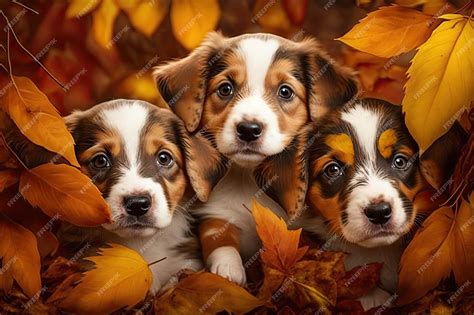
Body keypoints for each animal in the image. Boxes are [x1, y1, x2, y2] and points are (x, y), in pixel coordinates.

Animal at [154, 32, 358, 286]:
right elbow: (217, 234)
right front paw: (227, 270)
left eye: (285, 91)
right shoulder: (214, 210)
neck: (251, 179)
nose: (249, 129)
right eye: (225, 89)